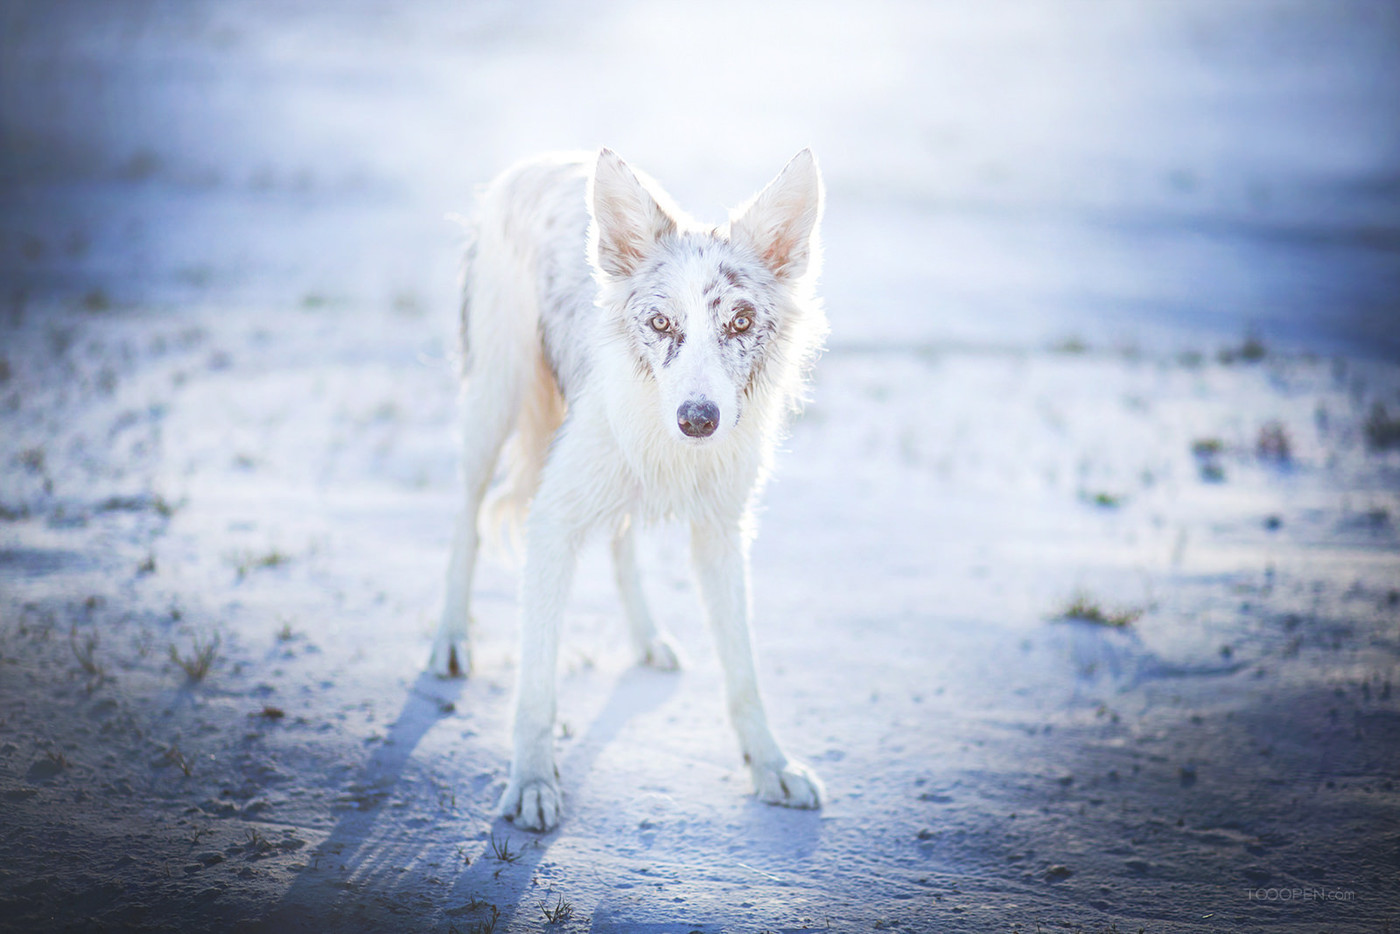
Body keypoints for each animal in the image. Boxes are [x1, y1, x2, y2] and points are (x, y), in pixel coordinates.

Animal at [434, 147, 828, 834]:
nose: (698, 419)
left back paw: (647, 639)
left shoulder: (723, 536)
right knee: (467, 517)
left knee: (620, 544)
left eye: (741, 321)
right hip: (493, 395)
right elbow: (535, 684)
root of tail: (543, 158)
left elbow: (744, 673)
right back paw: (451, 639)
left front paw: (770, 767)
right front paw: (532, 781)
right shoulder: (552, 522)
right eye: (660, 322)